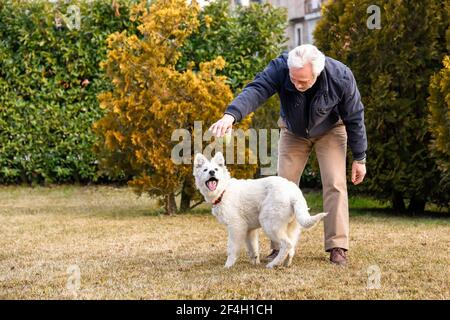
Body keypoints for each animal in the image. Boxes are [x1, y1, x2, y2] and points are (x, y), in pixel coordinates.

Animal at [193, 152, 326, 268]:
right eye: (205, 170)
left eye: (215, 169)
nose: (211, 172)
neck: (223, 191)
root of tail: (294, 193)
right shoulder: (249, 230)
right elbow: (253, 249)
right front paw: (255, 263)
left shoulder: (236, 227)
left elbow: (232, 249)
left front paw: (228, 265)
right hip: (291, 228)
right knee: (291, 247)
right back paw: (286, 263)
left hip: (269, 224)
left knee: (286, 245)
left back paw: (273, 264)